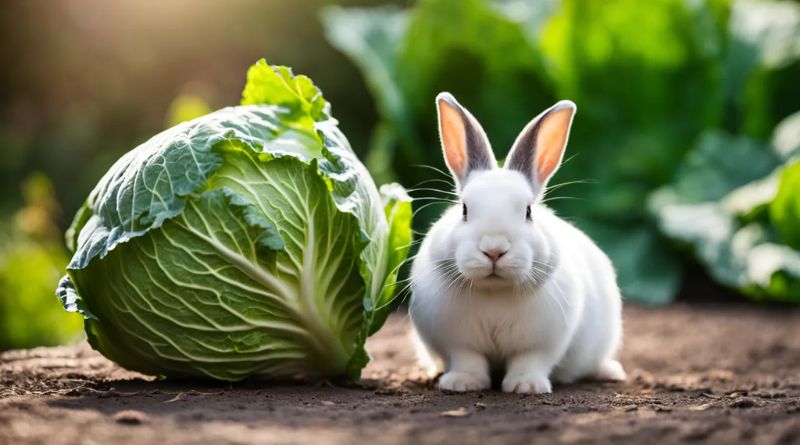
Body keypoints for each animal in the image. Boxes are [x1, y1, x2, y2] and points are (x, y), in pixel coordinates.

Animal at [412, 93, 624, 392]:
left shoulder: (540, 345)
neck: (494, 293)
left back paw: (610, 371)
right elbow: (468, 360)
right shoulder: (459, 343)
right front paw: (462, 383)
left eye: (528, 211)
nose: (494, 250)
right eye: (464, 209)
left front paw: (526, 386)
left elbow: (529, 362)